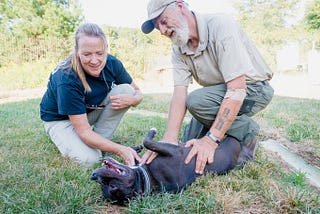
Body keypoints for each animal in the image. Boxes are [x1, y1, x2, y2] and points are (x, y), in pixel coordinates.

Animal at [90, 129, 240, 204]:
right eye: (111, 186)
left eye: (107, 185)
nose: (94, 176)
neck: (145, 178)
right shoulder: (171, 150)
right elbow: (147, 141)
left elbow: (141, 147)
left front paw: (136, 148)